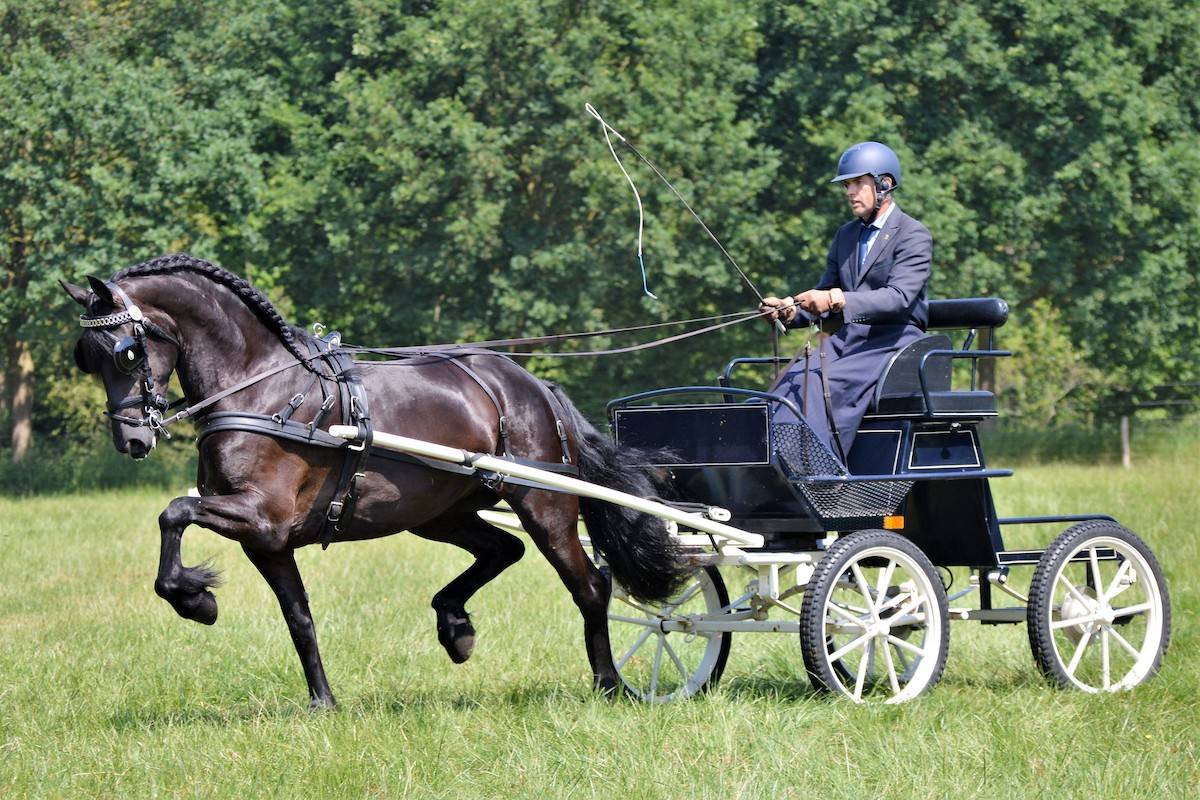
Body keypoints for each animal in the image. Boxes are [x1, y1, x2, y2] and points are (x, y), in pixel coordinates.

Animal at [62, 253, 686, 709]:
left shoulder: (261, 515)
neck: (260, 390)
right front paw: (323, 702)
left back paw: (610, 685)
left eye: (126, 352)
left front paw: (196, 600)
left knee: (591, 586)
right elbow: (299, 618)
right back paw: (455, 627)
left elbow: (173, 511)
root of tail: (533, 386)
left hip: (545, 506)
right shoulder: (267, 541)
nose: (132, 441)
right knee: (502, 550)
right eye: (86, 358)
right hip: (439, 514)